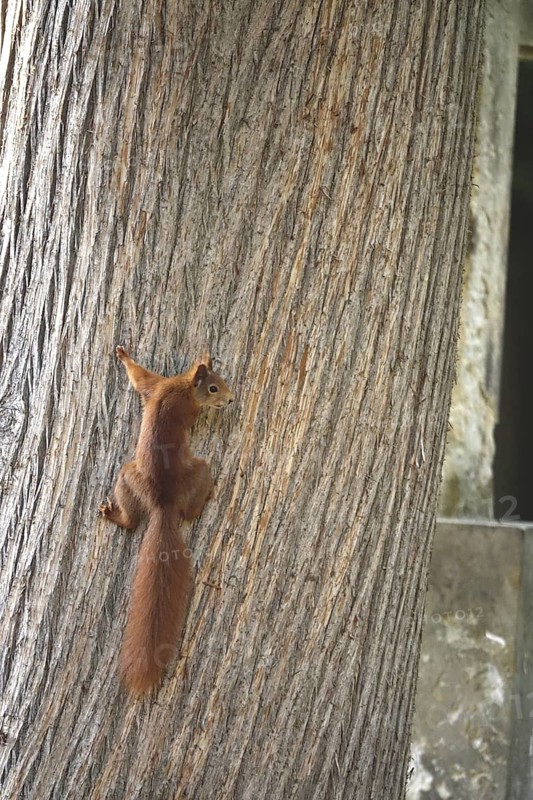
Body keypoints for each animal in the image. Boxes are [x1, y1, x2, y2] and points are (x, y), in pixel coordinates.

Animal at [99, 346, 234, 694]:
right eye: (213, 387)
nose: (230, 400)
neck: (184, 386)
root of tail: (164, 503)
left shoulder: (157, 388)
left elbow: (139, 379)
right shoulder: (163, 389)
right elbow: (140, 377)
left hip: (128, 477)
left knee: (137, 520)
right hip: (180, 471)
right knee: (187, 512)